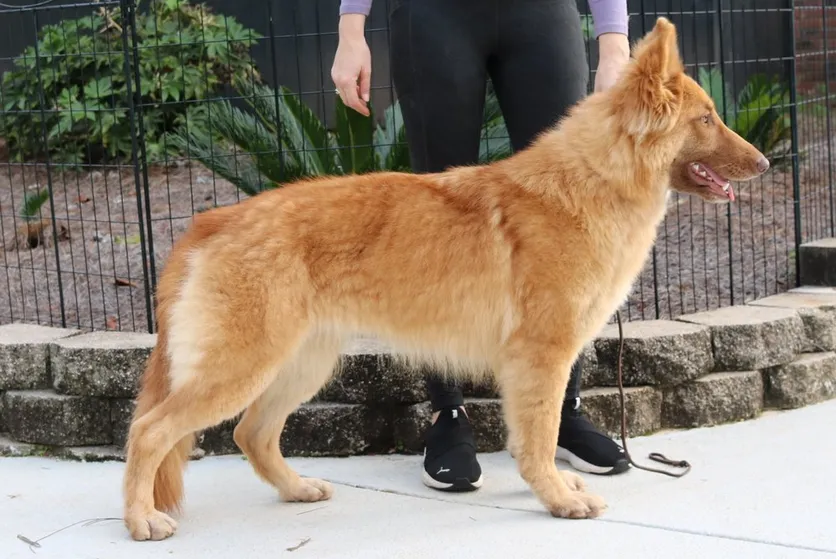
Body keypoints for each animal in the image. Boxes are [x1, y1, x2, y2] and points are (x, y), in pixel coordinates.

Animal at [122, 19, 772, 540]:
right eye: (707, 119)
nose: (767, 164)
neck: (592, 180)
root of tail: (214, 220)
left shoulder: (543, 361)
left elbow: (541, 433)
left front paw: (558, 488)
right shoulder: (541, 358)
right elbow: (538, 440)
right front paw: (556, 498)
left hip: (300, 366)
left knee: (251, 434)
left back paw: (296, 489)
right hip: (244, 368)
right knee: (150, 432)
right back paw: (140, 520)